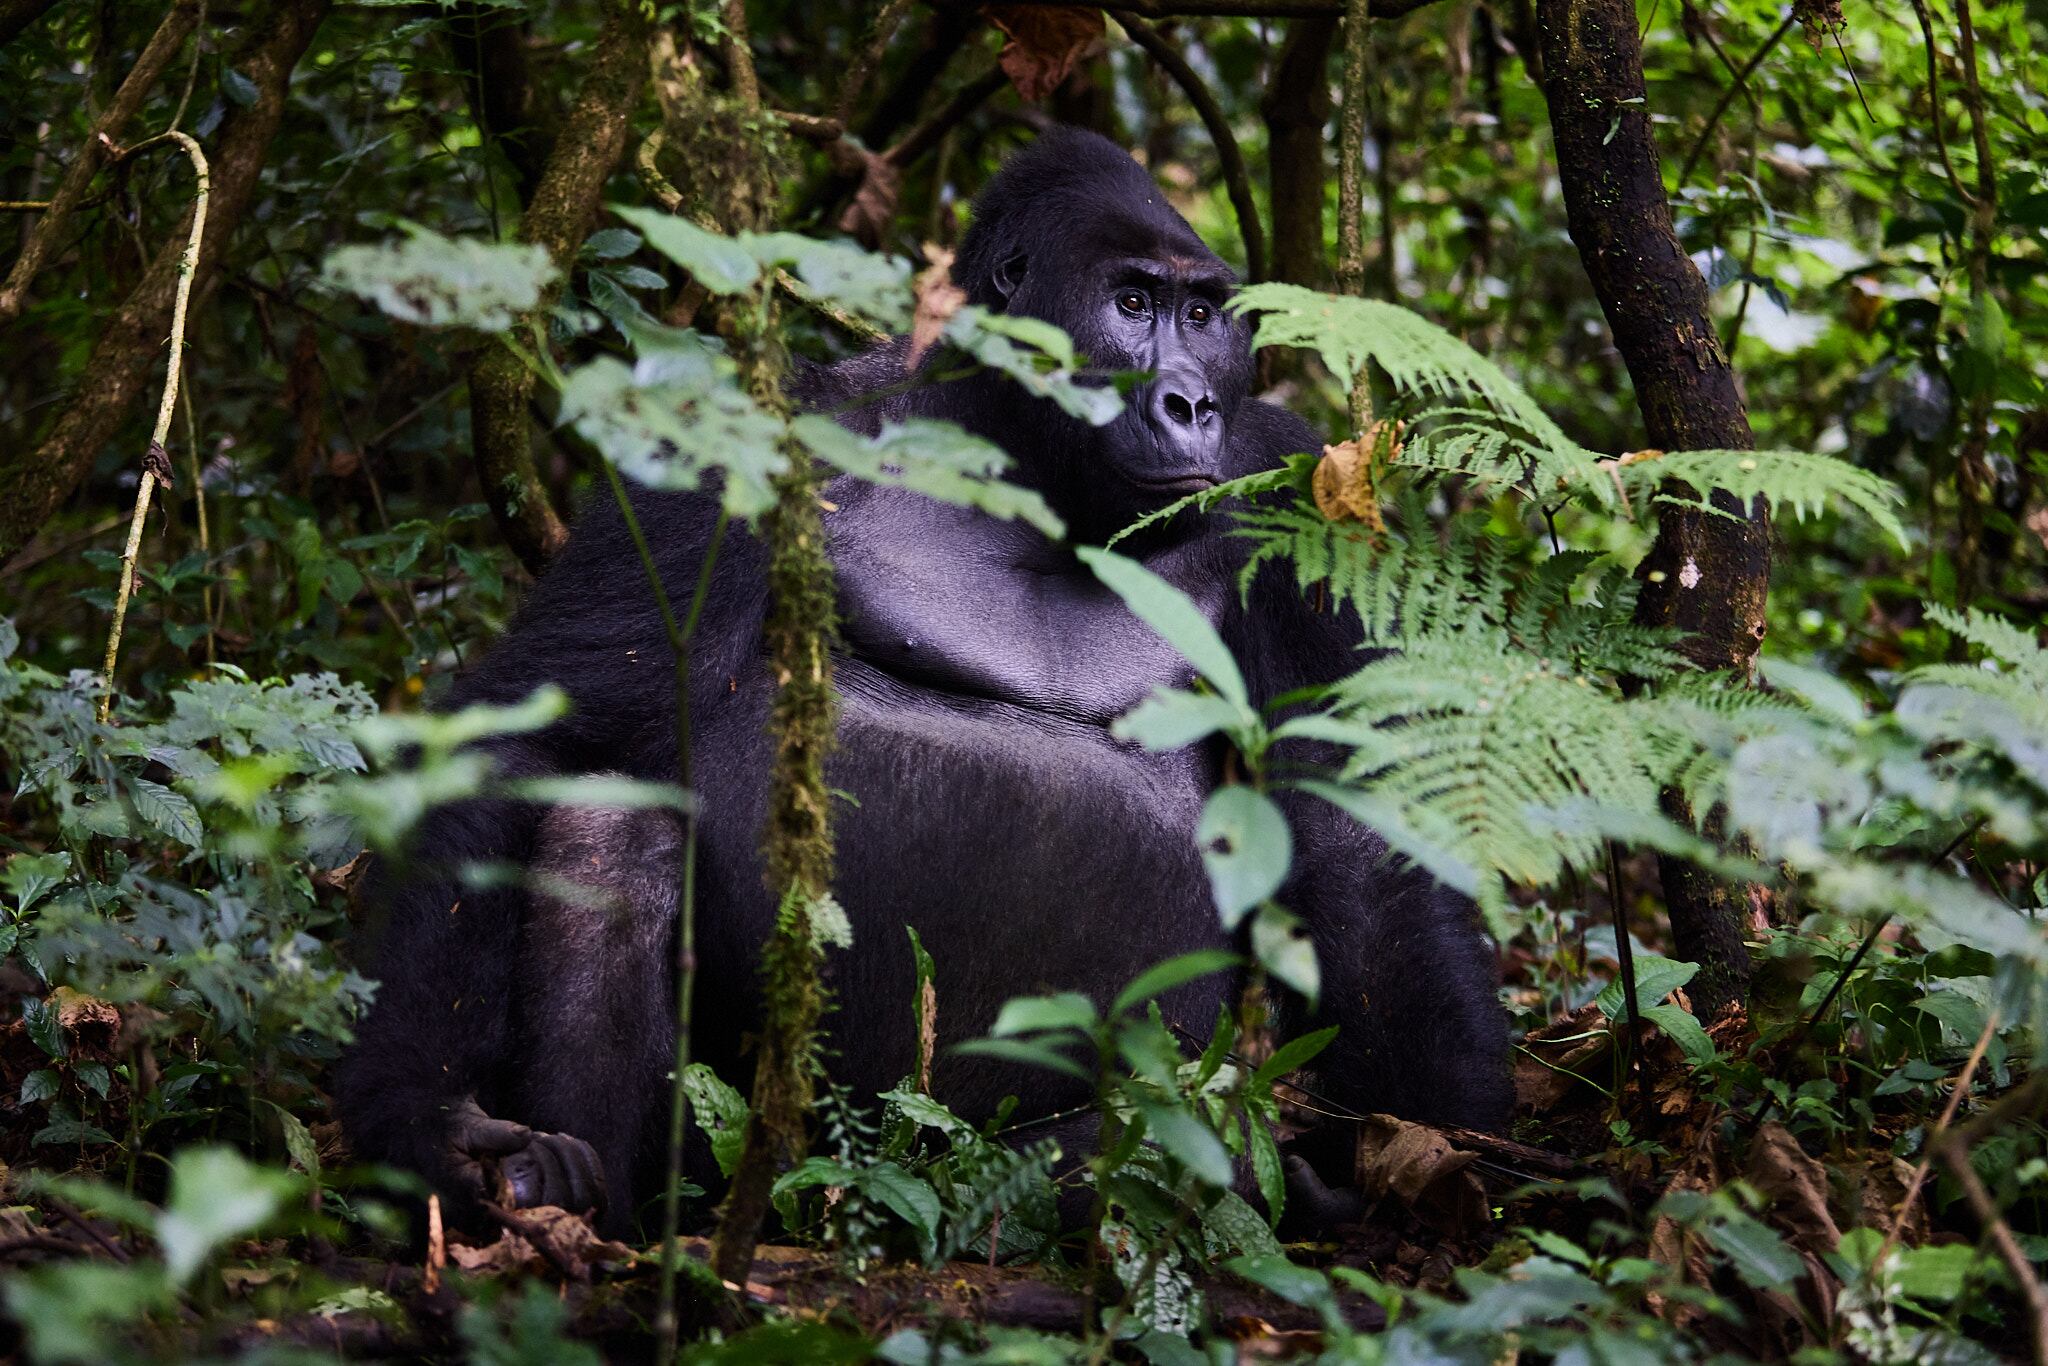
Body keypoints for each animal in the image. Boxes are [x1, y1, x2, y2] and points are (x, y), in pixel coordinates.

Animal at [335, 127, 1515, 1236]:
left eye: (1205, 314)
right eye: (1132, 303)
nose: (1189, 405)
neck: (1009, 445)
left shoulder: (1292, 485)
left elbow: (1356, 830)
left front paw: (1425, 1156)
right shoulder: (741, 436)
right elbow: (548, 731)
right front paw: (428, 1125)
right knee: (609, 823)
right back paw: (596, 1210)